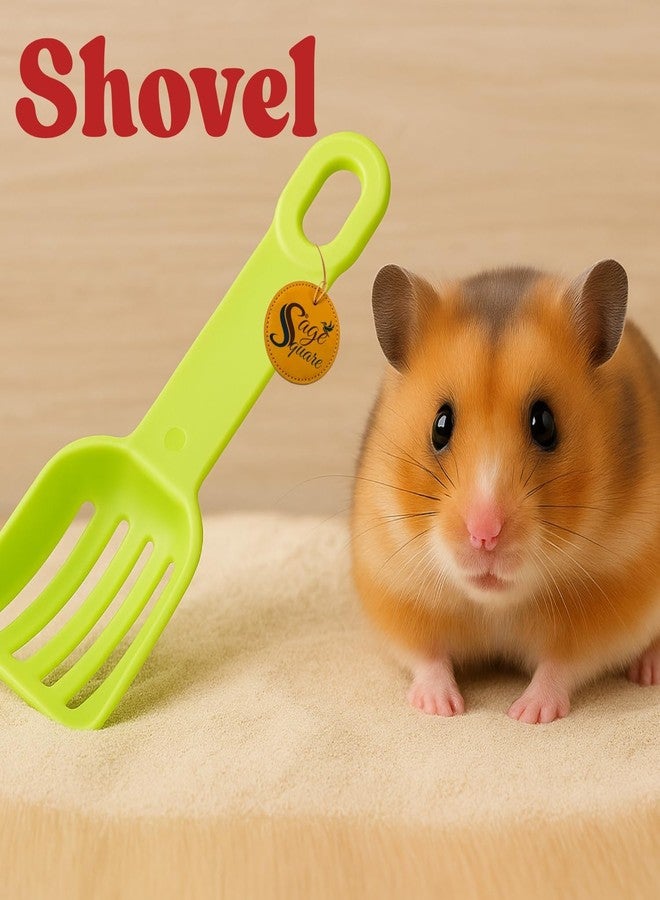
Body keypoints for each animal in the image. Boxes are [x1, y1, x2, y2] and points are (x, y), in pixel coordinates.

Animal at [350, 260, 660, 723]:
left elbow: (561, 665)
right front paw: (442, 709)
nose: (485, 535)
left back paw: (648, 672)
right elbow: (426, 656)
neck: (496, 603)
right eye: (440, 425)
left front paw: (526, 714)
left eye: (544, 424)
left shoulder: (614, 597)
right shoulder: (394, 584)